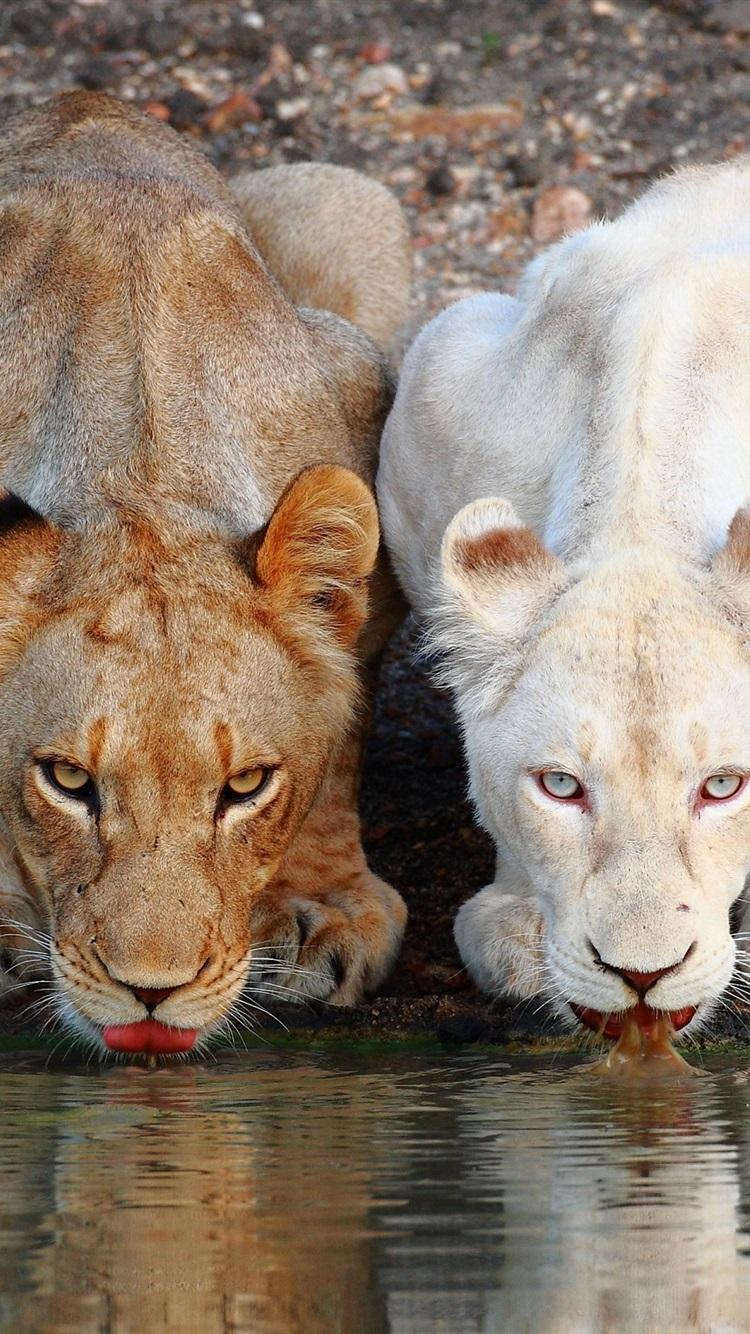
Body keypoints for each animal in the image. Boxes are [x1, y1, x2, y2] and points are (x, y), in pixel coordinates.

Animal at [0, 91, 410, 1055]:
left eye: (246, 787)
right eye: (68, 781)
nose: (151, 993)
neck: (141, 473)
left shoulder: (360, 394)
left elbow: (342, 722)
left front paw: (319, 907)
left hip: (348, 198)